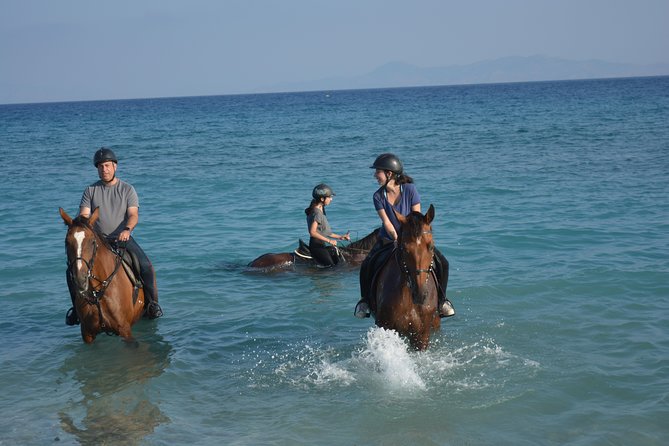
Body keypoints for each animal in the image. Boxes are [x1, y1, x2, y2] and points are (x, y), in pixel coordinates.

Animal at [59, 207, 146, 344]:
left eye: (92, 241)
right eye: (67, 242)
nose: (80, 280)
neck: (98, 291)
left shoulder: (125, 330)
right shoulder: (87, 333)